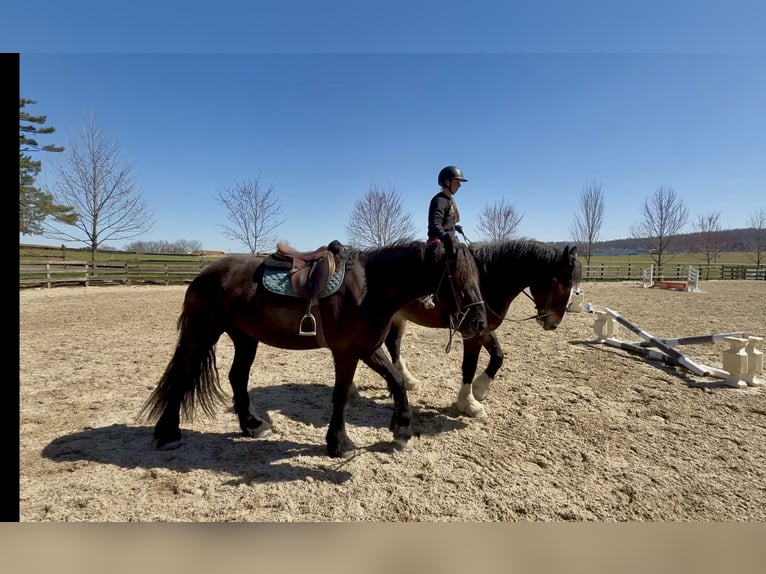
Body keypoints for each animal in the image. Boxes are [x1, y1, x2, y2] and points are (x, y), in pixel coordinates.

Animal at [139, 238, 487, 458]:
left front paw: (401, 431)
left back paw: (252, 425)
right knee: (182, 378)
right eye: (457, 277)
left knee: (237, 377)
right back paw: (168, 435)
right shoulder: (346, 353)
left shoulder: (368, 348)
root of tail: (204, 275)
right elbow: (341, 396)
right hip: (201, 334)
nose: (480, 323)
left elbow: (397, 380)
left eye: (478, 276)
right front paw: (339, 443)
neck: (370, 287)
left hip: (245, 338)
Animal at [383, 239, 580, 418]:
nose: (554, 324)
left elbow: (498, 357)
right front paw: (469, 403)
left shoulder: (485, 330)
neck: (488, 280)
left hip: (398, 318)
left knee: (393, 344)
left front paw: (479, 389)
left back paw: (408, 380)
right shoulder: (471, 334)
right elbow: (469, 366)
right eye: (565, 285)